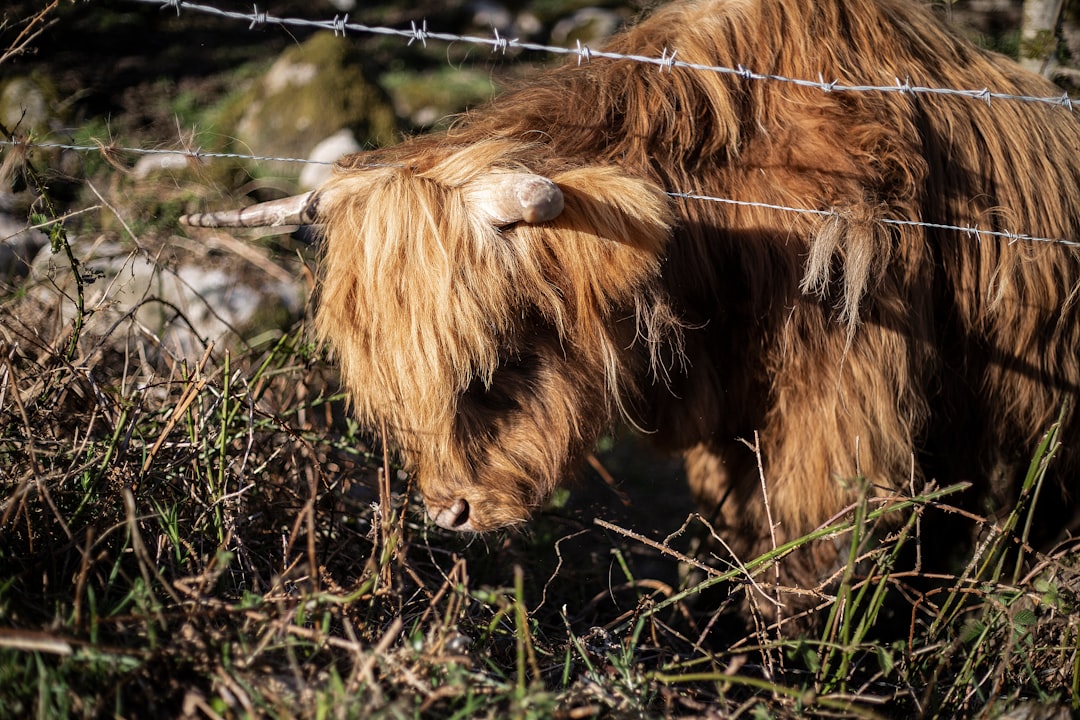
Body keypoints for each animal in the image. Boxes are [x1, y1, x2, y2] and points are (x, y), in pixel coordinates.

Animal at [181, 0, 1080, 613]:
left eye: (497, 361)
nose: (449, 513)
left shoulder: (842, 393)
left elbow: (816, 537)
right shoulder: (731, 421)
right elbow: (739, 519)